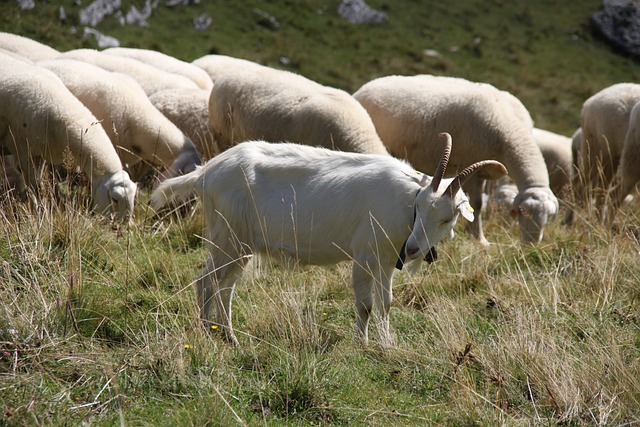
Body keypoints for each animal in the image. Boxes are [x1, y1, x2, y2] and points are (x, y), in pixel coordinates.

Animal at [0, 53, 136, 221]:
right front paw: (38, 213)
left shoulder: (40, 154)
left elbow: (37, 185)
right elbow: (35, 188)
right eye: (115, 199)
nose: (121, 226)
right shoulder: (23, 151)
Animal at [152, 135, 508, 346]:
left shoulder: (385, 261)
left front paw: (386, 343)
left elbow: (386, 302)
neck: (402, 204)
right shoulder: (364, 256)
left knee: (225, 286)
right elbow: (365, 304)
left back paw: (229, 336)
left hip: (240, 246)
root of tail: (207, 172)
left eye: (446, 217)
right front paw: (363, 344)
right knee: (207, 281)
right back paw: (205, 333)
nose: (413, 249)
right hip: (228, 238)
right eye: (419, 207)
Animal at [352, 75, 556, 246]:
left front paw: (470, 232)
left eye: (548, 217)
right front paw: (479, 239)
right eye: (523, 213)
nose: (531, 244)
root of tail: (365, 86)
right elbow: (477, 204)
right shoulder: (471, 165)